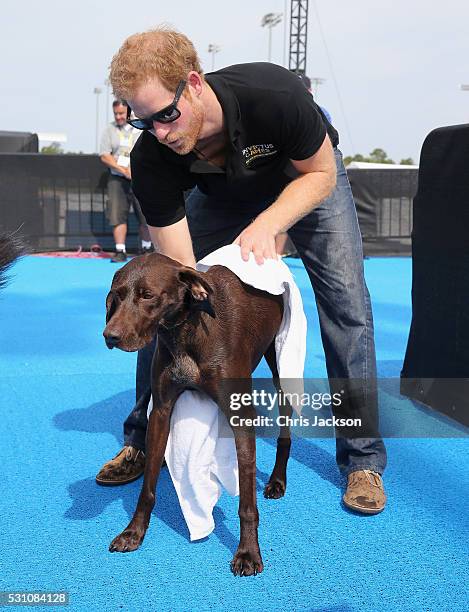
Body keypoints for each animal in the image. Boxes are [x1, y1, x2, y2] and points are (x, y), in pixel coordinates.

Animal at [104, 251, 290, 576]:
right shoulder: (161, 412)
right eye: (116, 295)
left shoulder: (241, 416)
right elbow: (147, 487)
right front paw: (134, 532)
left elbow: (247, 503)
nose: (110, 336)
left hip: (282, 365)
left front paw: (248, 552)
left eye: (147, 295)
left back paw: (278, 481)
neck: (184, 332)